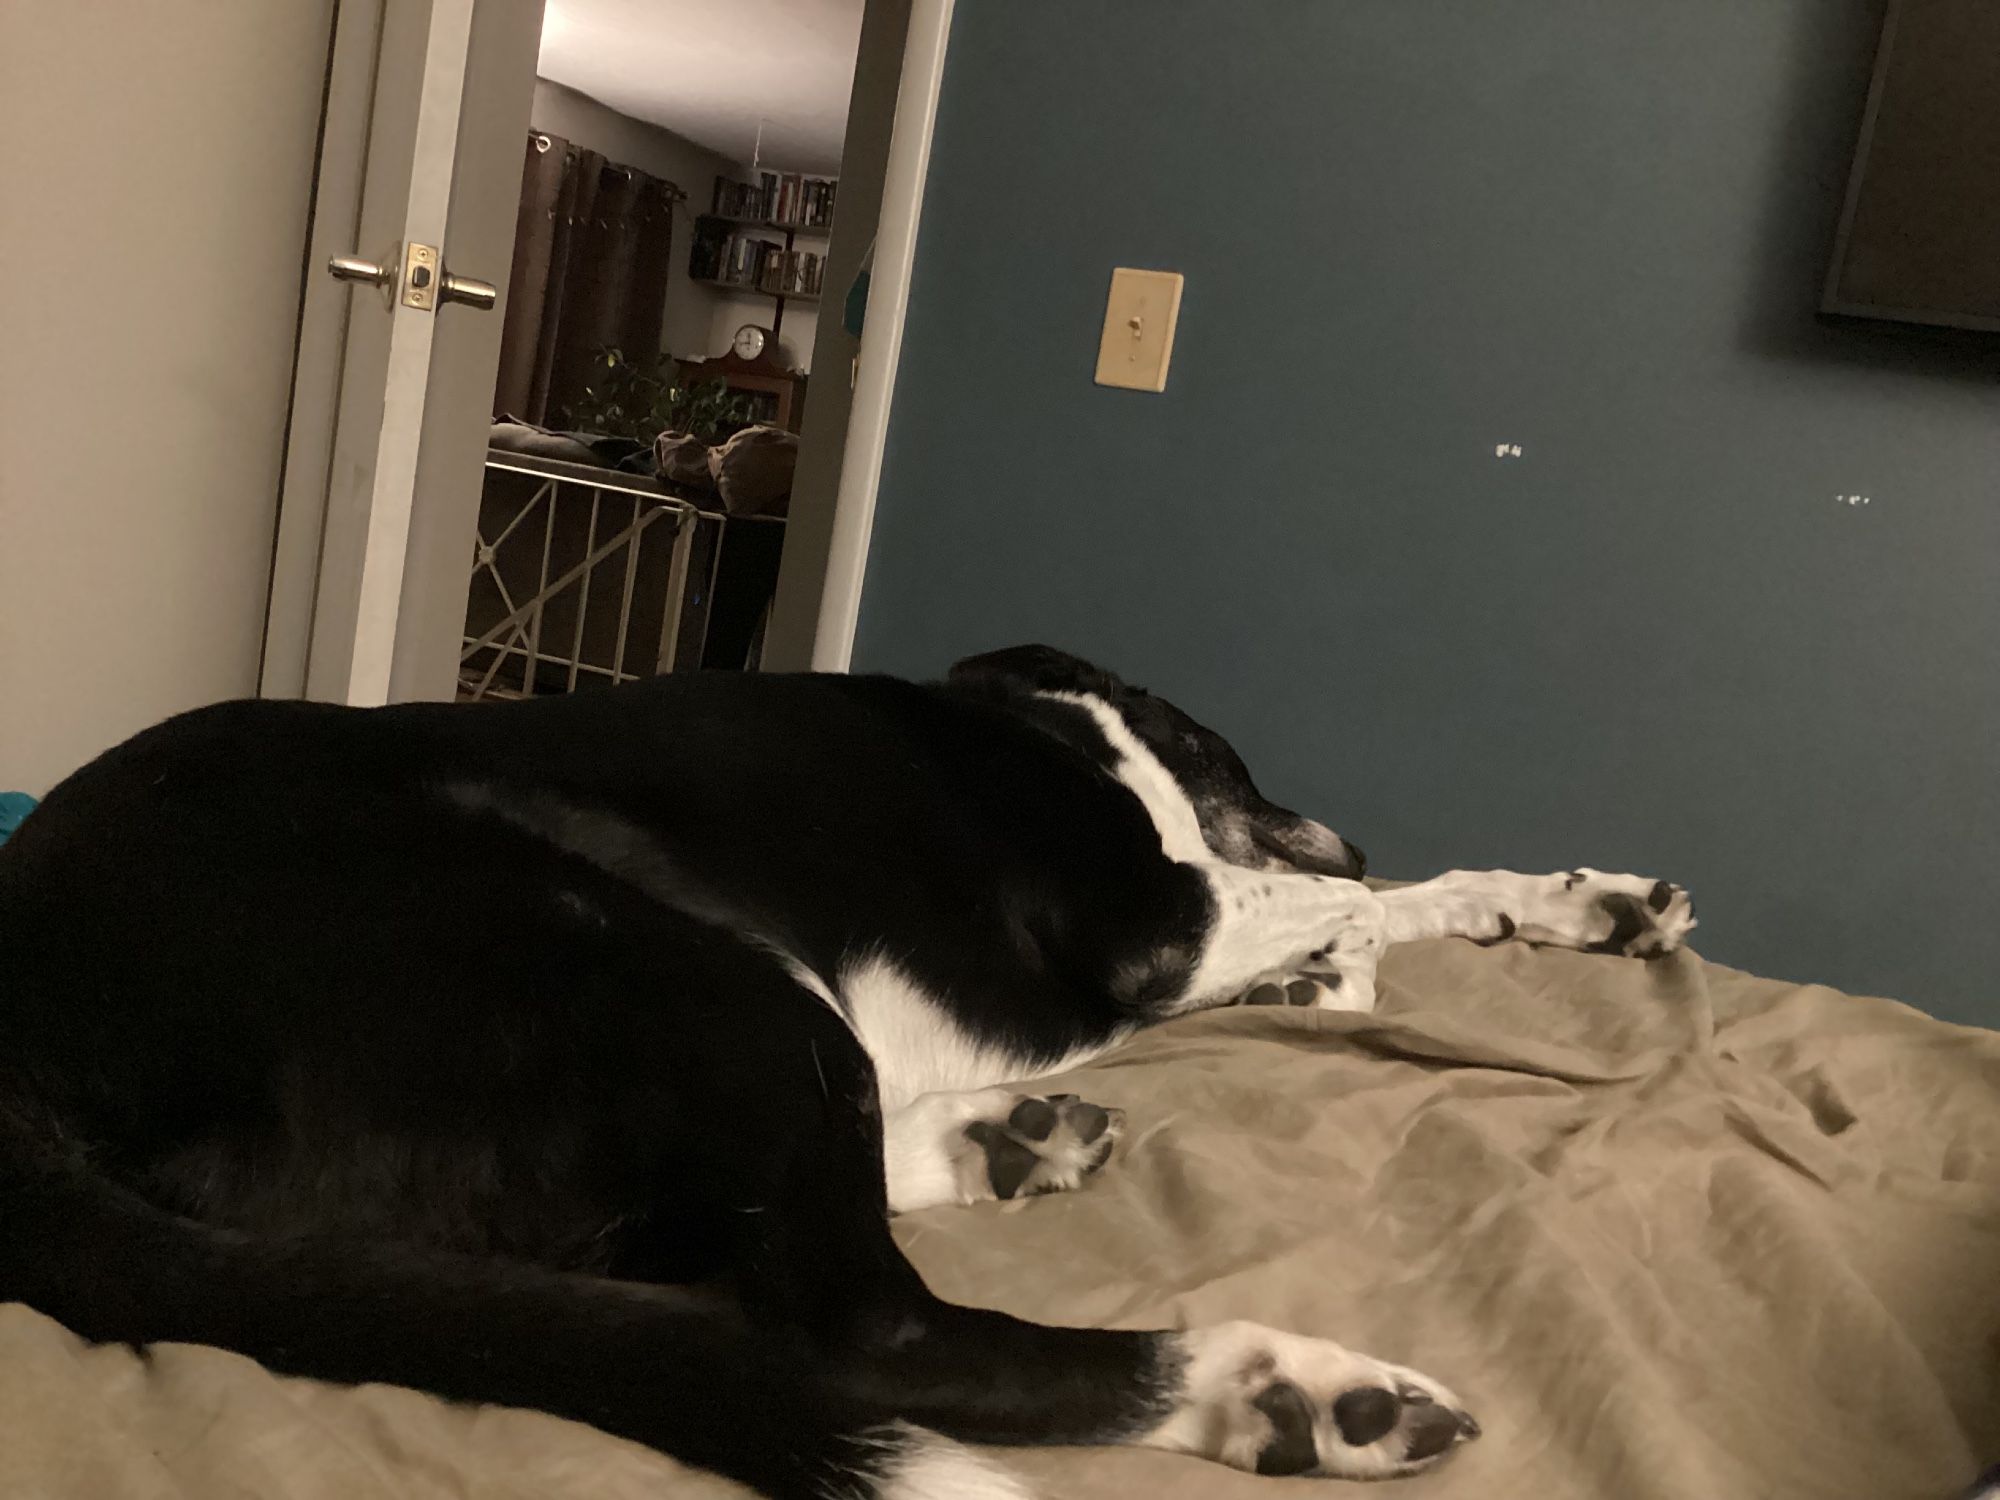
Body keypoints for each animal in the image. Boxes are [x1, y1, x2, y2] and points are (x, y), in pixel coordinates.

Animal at [0, 652, 1688, 1500]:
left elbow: (1397, 905)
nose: (1344, 826)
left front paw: (1574, 906)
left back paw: (1011, 1138)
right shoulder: (1155, 922)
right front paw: (1374, 946)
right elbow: (1348, 912)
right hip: (685, 967)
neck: (1064, 723)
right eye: (1241, 758)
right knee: (863, 1330)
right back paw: (1287, 1395)